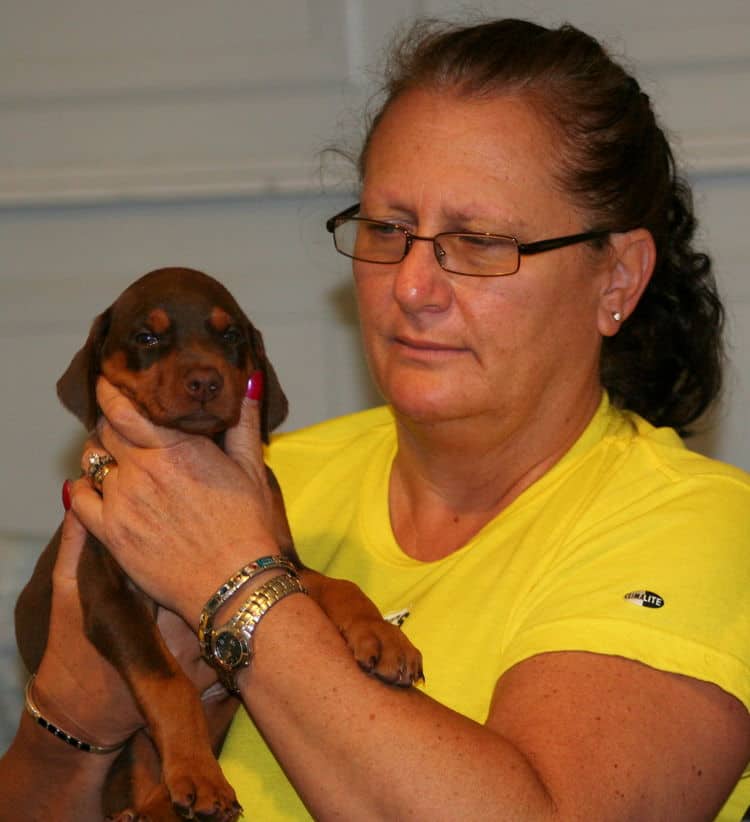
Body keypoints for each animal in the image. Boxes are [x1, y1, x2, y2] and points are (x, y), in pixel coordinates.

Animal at [14, 268, 424, 820]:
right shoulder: (107, 593)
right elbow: (168, 682)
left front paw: (381, 635)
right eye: (147, 338)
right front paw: (199, 774)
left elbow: (339, 585)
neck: (201, 449)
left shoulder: (279, 558)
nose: (205, 382)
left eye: (229, 335)